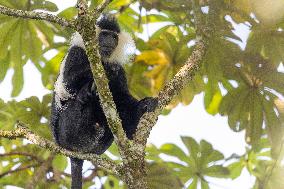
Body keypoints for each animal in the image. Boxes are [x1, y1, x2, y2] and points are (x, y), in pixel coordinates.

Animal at [50, 14, 158, 188]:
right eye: (104, 35)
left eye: (114, 37)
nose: (108, 41)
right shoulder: (76, 53)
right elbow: (68, 83)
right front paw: (104, 70)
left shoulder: (120, 71)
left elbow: (123, 99)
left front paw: (144, 104)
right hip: (66, 129)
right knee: (80, 100)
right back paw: (89, 92)